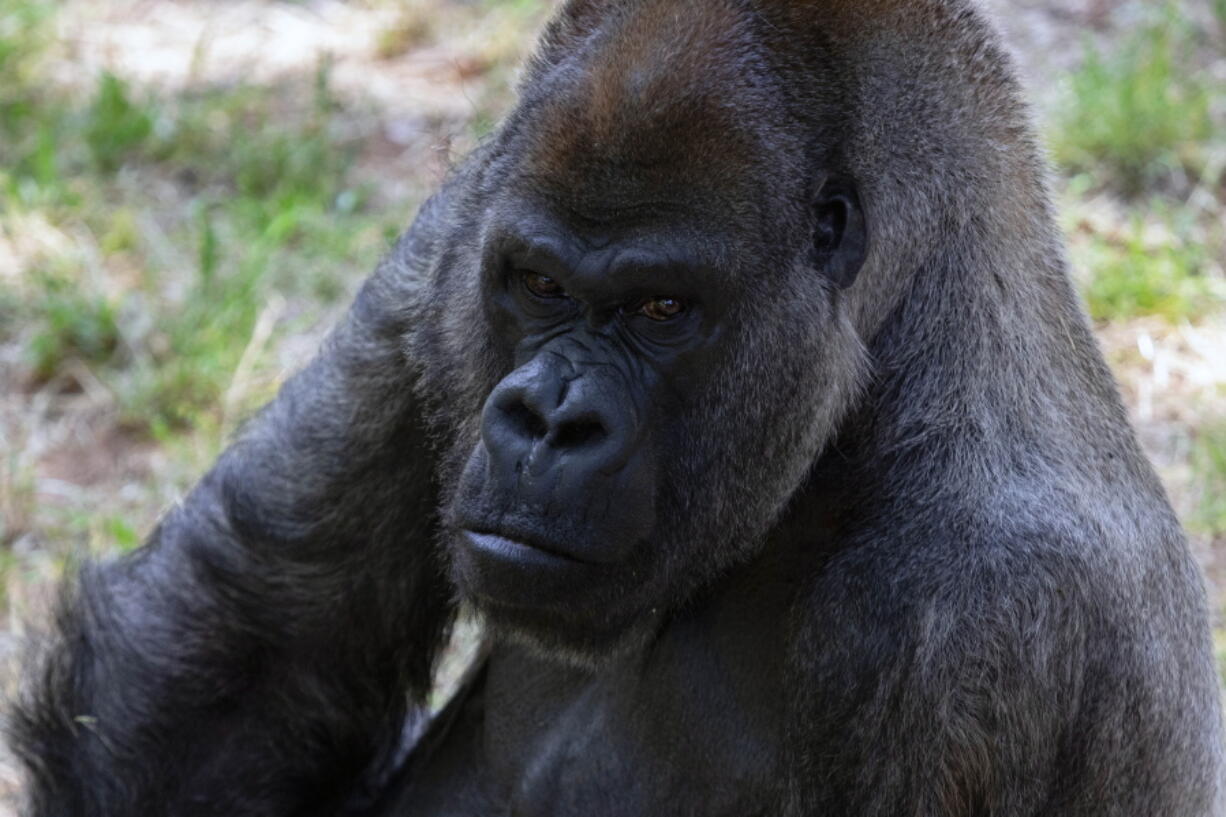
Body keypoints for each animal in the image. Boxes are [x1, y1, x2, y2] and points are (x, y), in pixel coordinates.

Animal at [11, 1, 1226, 814]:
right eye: (541, 284)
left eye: (660, 307)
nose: (550, 422)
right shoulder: (459, 223)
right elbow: (240, 653)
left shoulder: (987, 618)